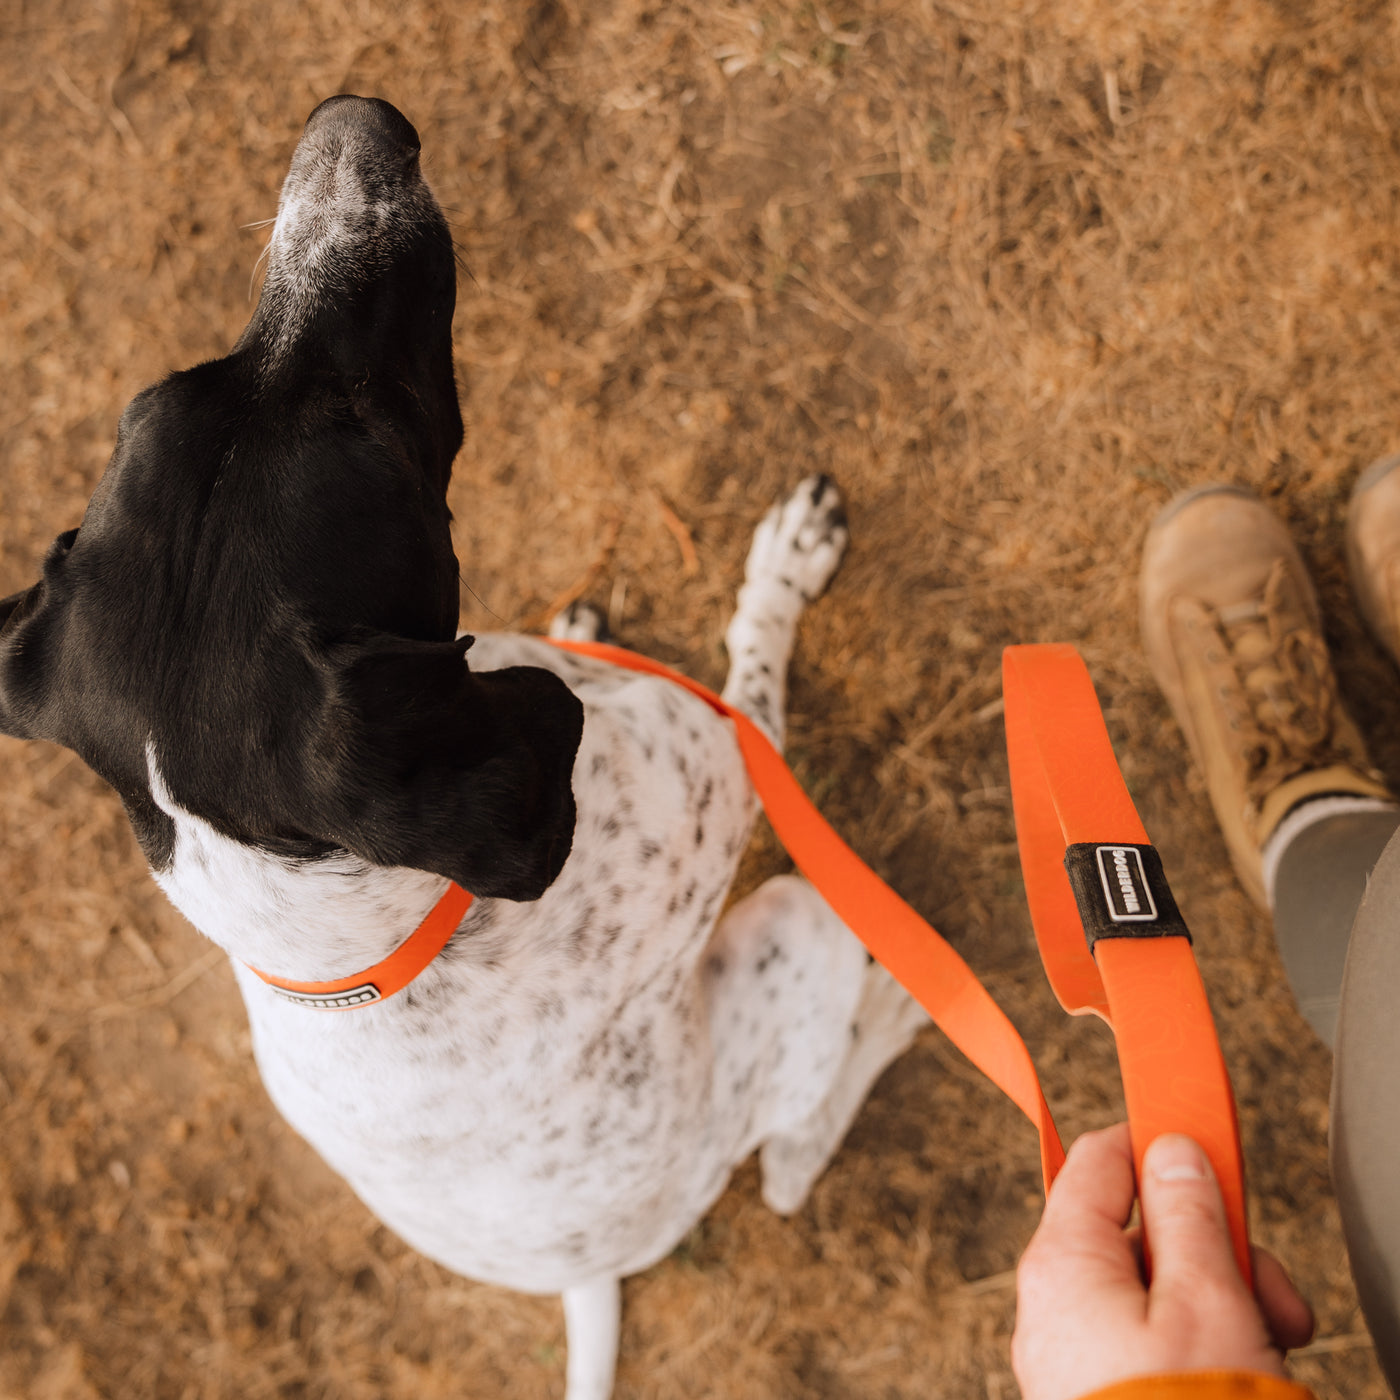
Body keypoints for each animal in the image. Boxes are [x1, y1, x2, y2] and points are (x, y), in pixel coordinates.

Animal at [0, 101, 929, 1400]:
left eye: (178, 384)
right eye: (360, 424)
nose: (356, 122)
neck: (384, 922)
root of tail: (593, 1274)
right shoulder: (724, 756)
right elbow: (754, 651)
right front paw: (784, 567)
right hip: (795, 929)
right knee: (795, 1161)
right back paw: (890, 1016)